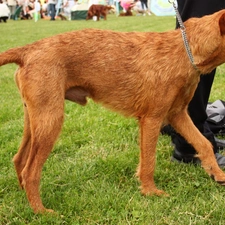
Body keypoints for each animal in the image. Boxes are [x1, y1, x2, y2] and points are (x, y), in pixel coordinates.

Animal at [0, 9, 225, 213]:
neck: (185, 51)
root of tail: (27, 50)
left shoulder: (177, 114)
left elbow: (203, 144)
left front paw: (217, 173)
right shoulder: (151, 119)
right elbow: (148, 161)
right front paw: (150, 192)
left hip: (35, 120)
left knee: (19, 159)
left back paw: (26, 198)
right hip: (50, 121)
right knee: (30, 171)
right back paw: (41, 211)